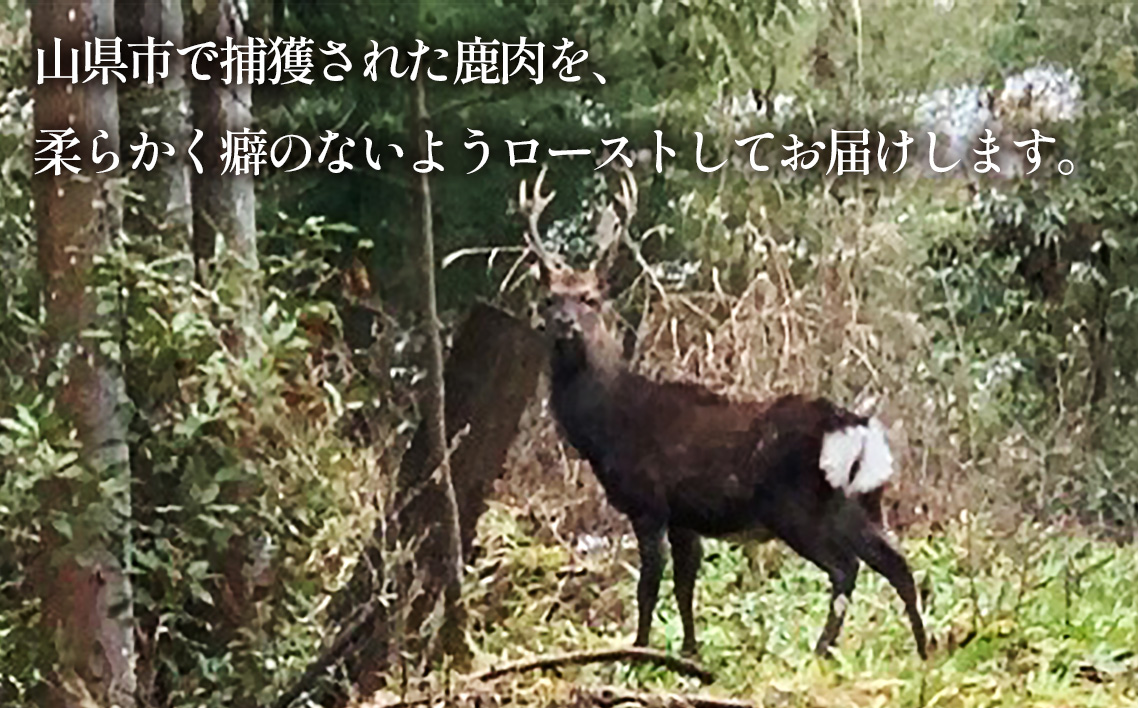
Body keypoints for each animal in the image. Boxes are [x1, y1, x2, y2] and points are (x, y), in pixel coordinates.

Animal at [516, 164, 928, 661]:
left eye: (590, 299)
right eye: (550, 298)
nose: (565, 325)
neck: (607, 423)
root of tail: (858, 434)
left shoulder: (648, 501)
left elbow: (649, 587)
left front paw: (638, 652)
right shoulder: (684, 517)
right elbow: (685, 587)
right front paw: (689, 652)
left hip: (796, 505)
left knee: (845, 568)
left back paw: (820, 650)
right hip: (860, 503)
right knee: (896, 564)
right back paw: (924, 651)